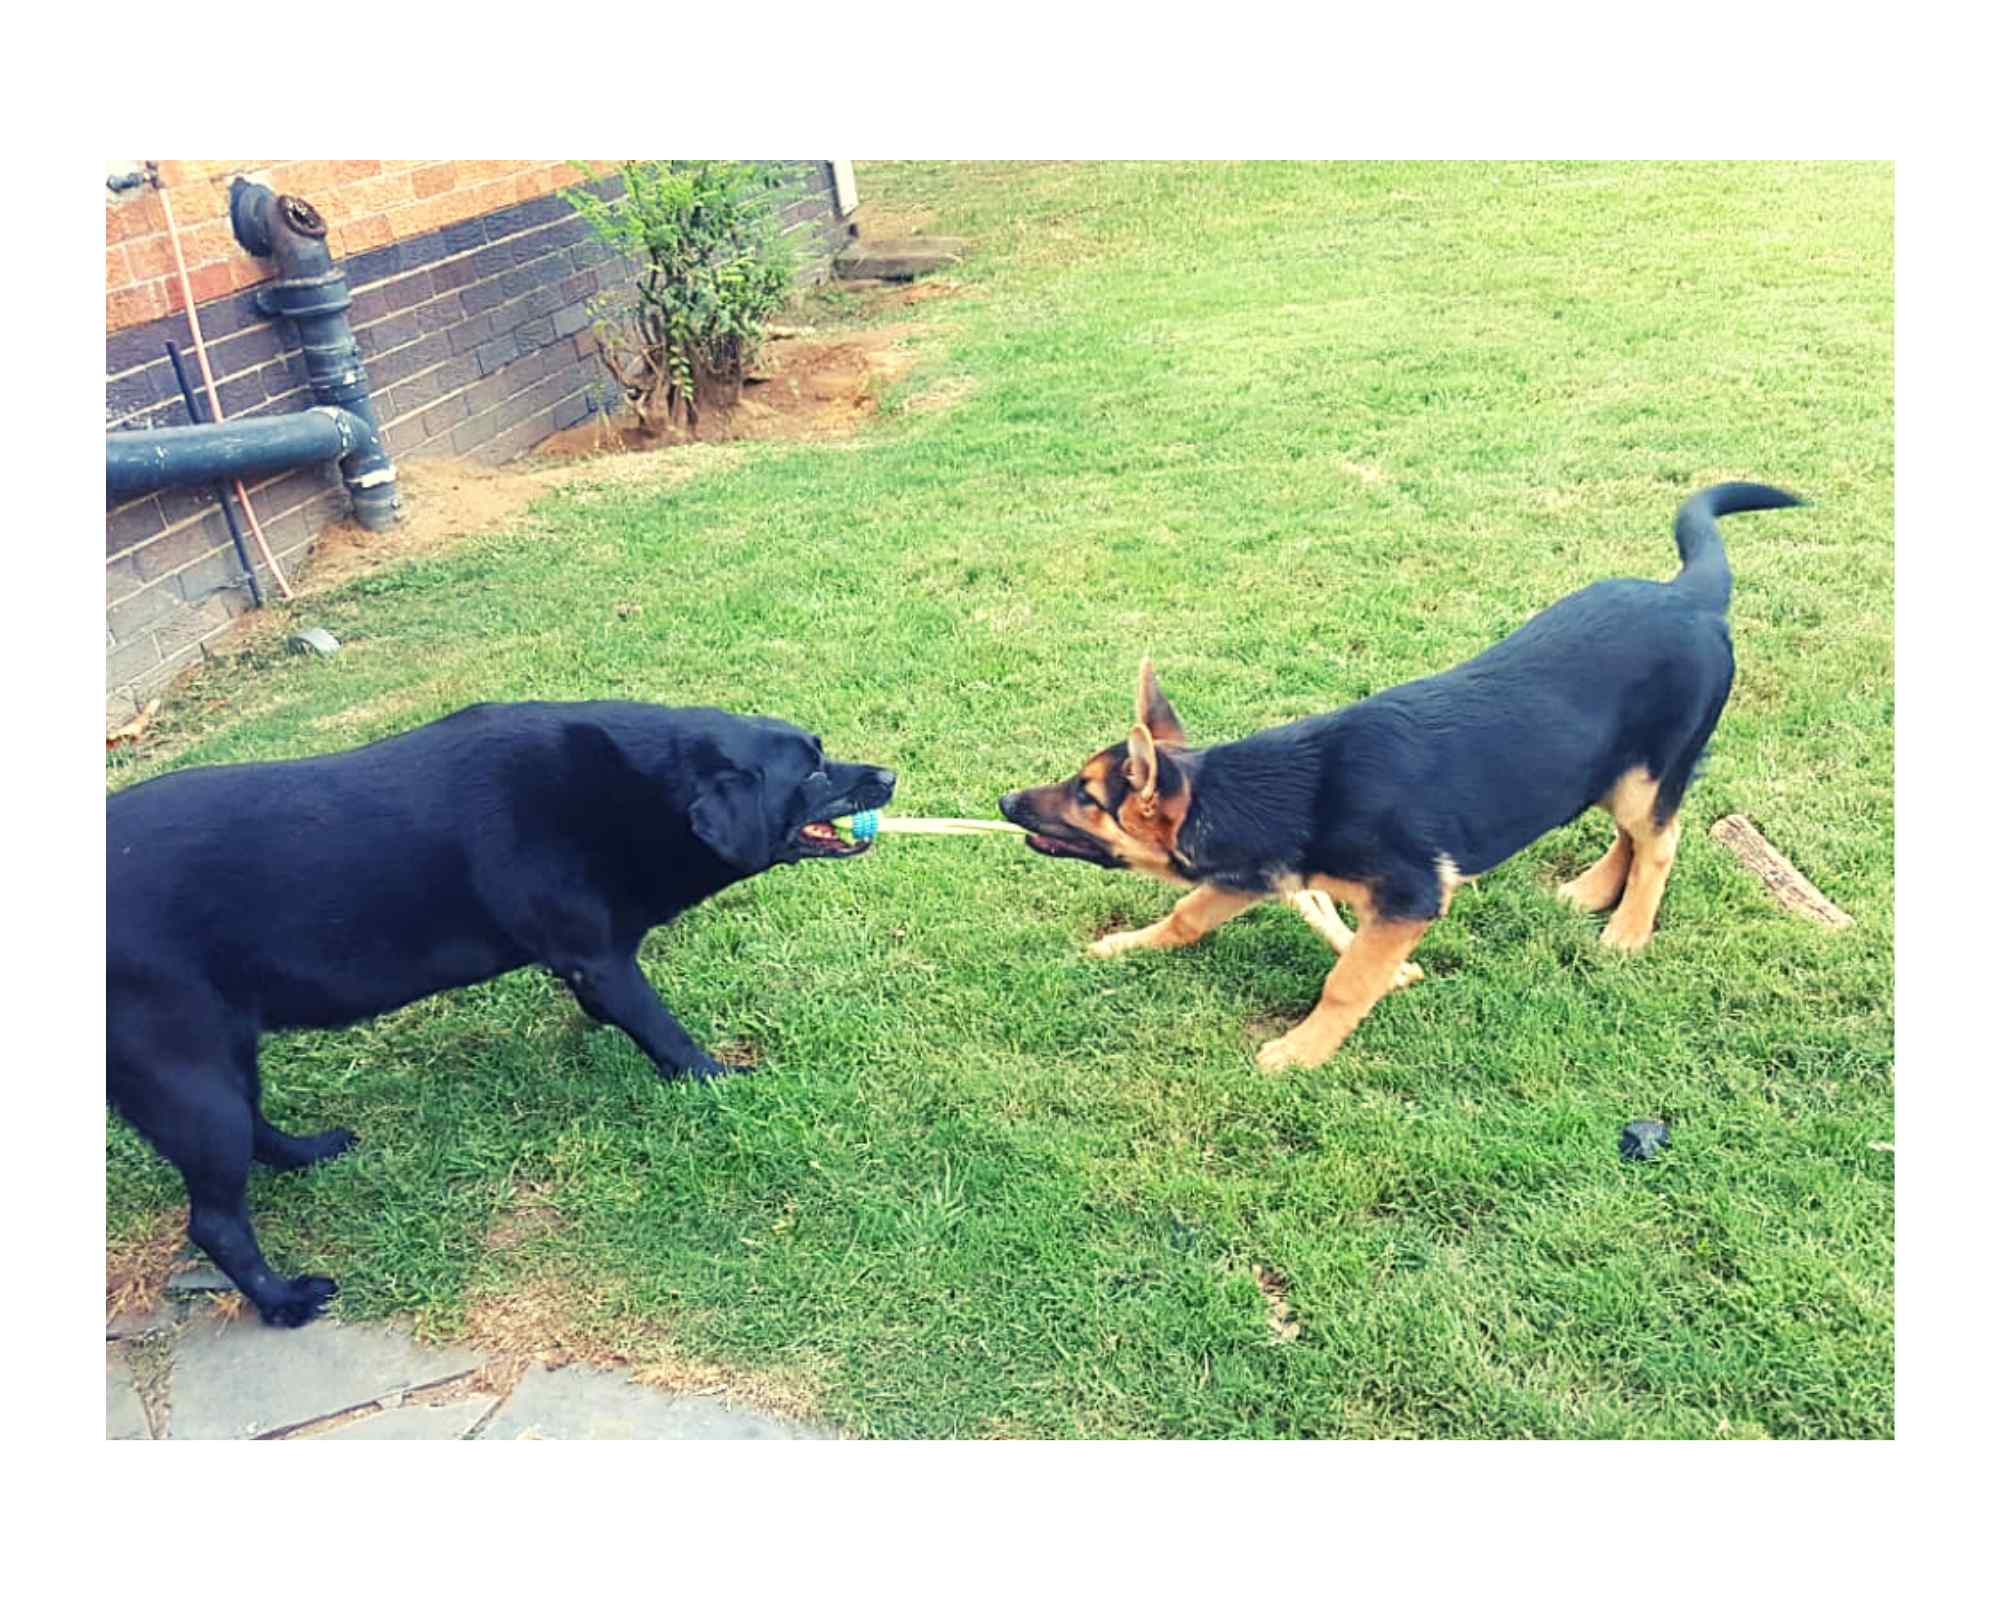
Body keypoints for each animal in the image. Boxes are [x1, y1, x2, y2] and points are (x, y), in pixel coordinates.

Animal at [107, 700, 895, 1327]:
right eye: (812, 774)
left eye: (824, 751)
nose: (887, 776)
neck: (633, 793)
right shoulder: (602, 959)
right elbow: (666, 1034)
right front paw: (718, 1080)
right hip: (189, 1074)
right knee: (215, 1223)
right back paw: (284, 1302)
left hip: (225, 1049)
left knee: (256, 1131)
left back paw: (310, 1154)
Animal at [999, 483, 1802, 1072]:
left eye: (1086, 795)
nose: (1004, 800)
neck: (1269, 792)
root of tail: (1687, 596)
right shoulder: (1249, 876)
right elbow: (1188, 915)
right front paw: (1129, 944)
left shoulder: (1410, 899)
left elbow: (1346, 979)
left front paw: (1301, 1050)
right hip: (1612, 771)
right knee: (1630, 836)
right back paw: (1591, 891)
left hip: (1649, 773)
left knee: (1659, 842)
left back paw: (1629, 929)